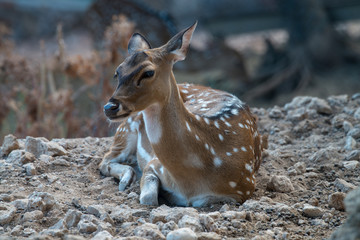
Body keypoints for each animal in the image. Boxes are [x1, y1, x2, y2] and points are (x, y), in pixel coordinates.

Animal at [100, 22, 266, 206]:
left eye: (148, 72)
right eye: (117, 72)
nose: (109, 107)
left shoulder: (243, 187)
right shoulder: (154, 164)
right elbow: (148, 198)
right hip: (126, 128)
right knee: (106, 159)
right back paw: (126, 178)